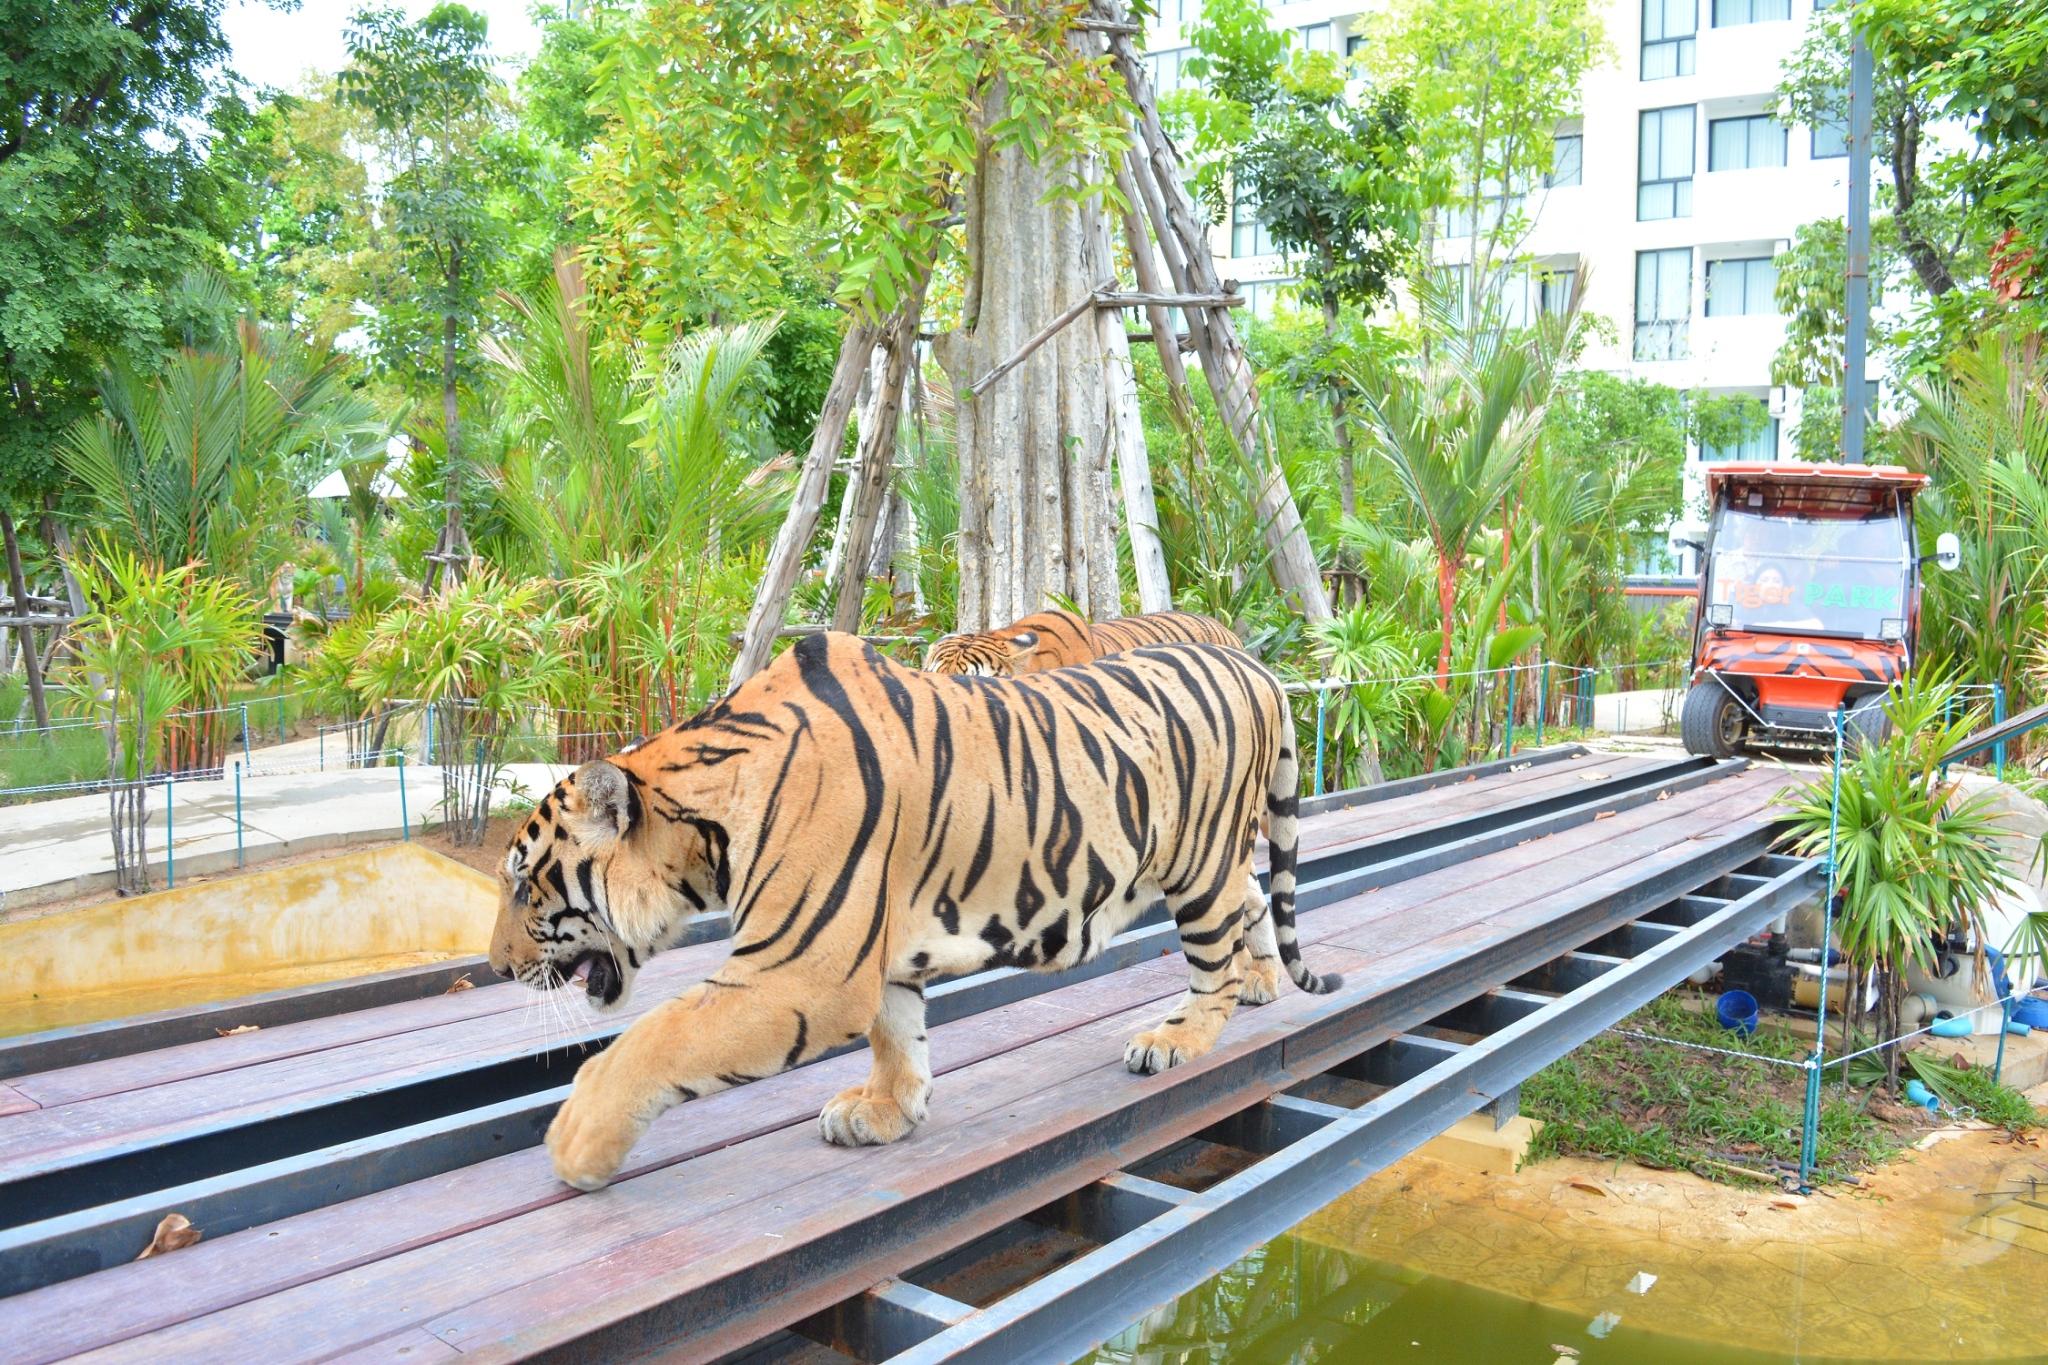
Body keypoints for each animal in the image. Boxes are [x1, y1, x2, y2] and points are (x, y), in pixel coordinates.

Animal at [488, 630, 1335, 1192]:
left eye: (524, 882)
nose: (497, 966)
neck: (705, 825)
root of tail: (1252, 662)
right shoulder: (875, 946)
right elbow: (897, 1033)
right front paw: (888, 1109)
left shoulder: (802, 971)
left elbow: (654, 1039)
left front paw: (575, 1143)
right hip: (1205, 859)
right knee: (1252, 898)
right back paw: (1261, 983)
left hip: (1196, 857)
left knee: (1212, 958)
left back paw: (1176, 1038)